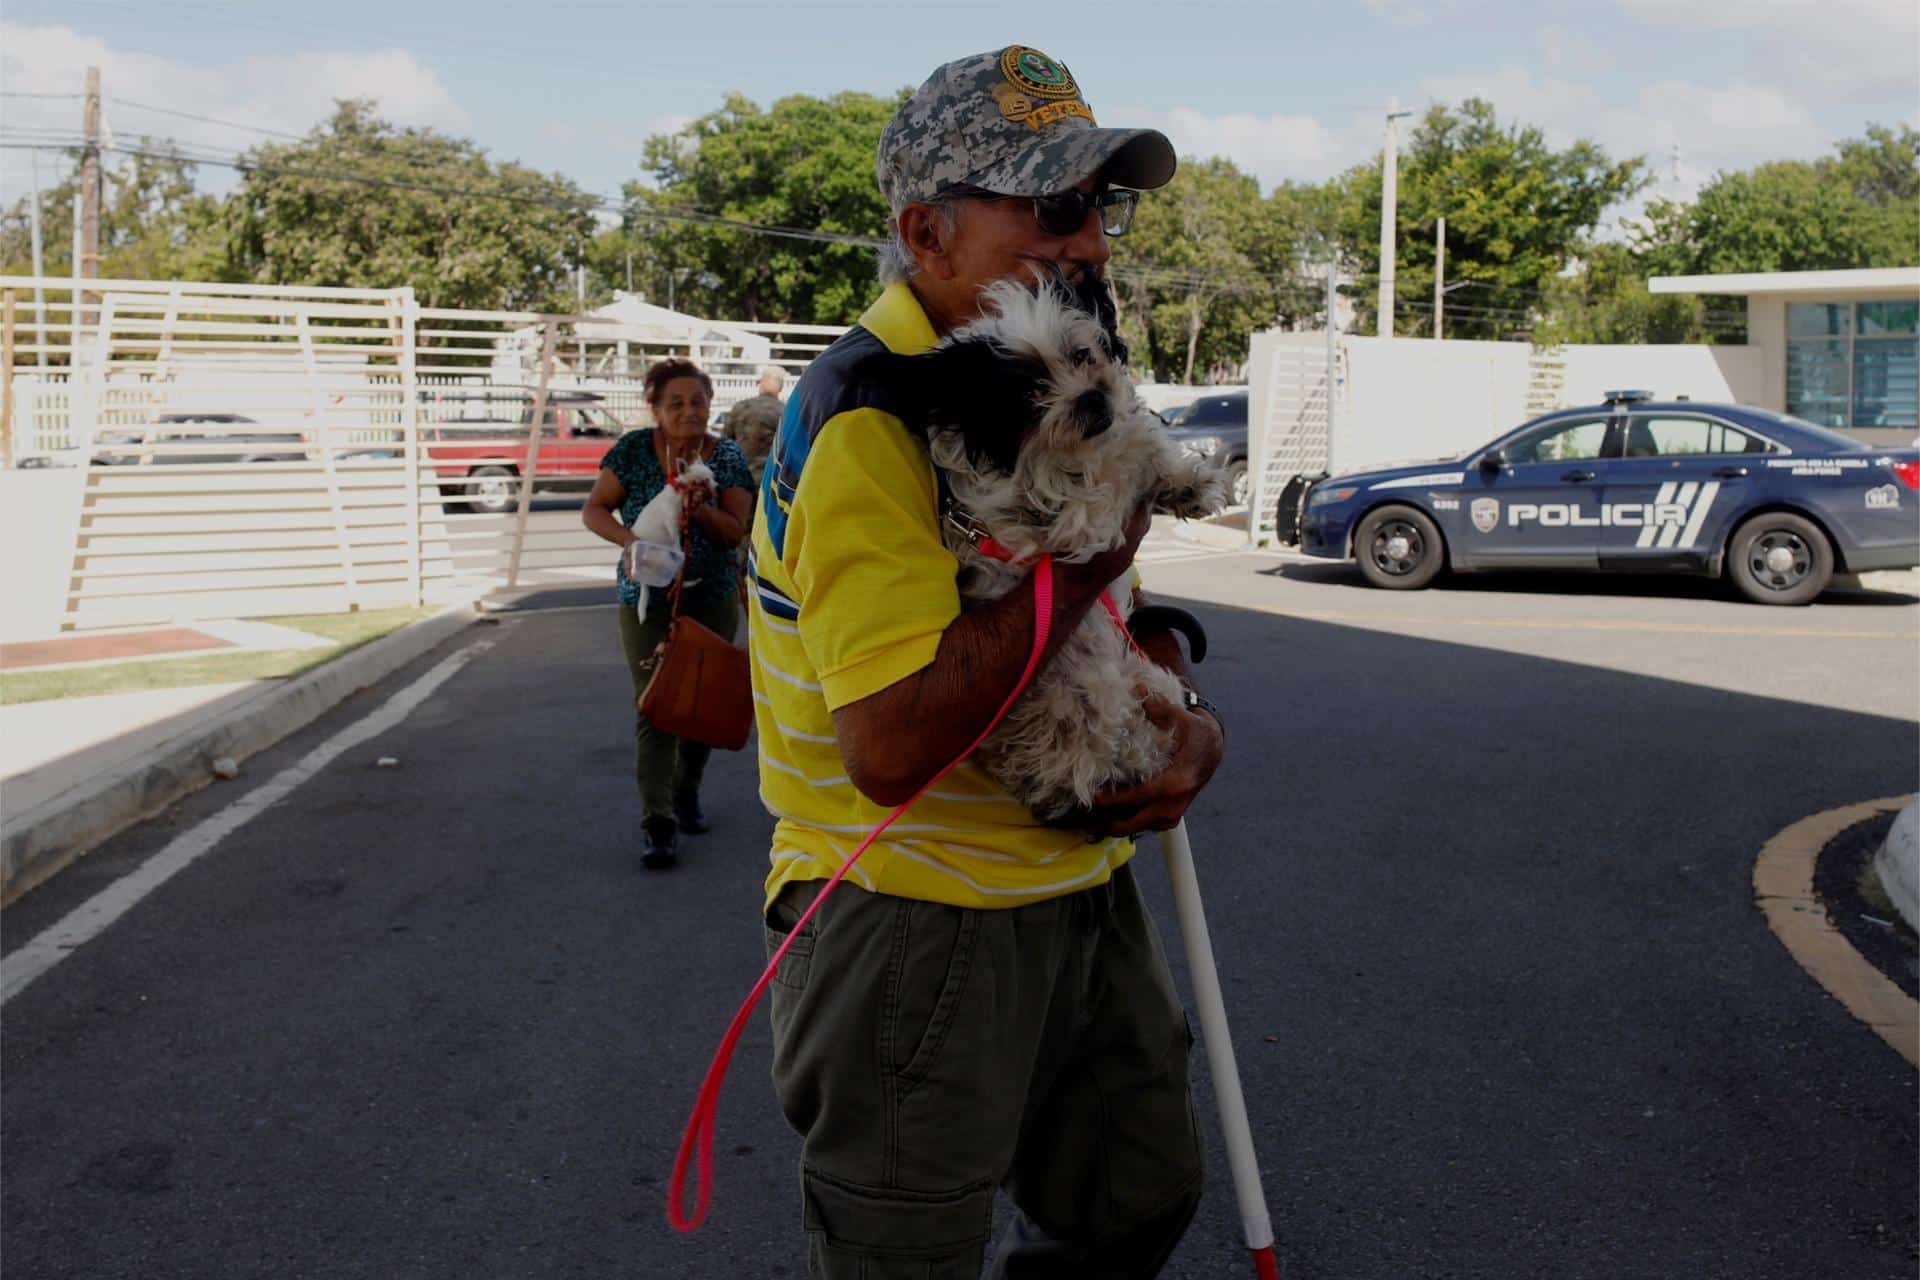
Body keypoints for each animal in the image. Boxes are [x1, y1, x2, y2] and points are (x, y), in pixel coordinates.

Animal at [860, 278, 1221, 821]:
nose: (1092, 397)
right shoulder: (1081, 522)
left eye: (1082, 354)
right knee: (1122, 753)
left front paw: (1187, 484)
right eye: (1030, 392)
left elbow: (1139, 445)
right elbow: (1125, 457)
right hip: (1096, 707)